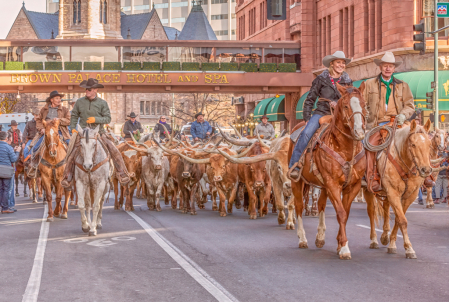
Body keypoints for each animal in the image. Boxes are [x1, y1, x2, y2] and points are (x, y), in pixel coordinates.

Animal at [288, 82, 366, 260]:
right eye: (346, 106)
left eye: (364, 104)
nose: (359, 131)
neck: (345, 148)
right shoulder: (333, 184)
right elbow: (341, 213)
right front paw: (344, 248)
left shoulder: (353, 185)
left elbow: (345, 213)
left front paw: (339, 244)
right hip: (298, 182)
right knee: (299, 206)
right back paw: (302, 239)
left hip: (322, 185)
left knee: (321, 205)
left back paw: (320, 237)